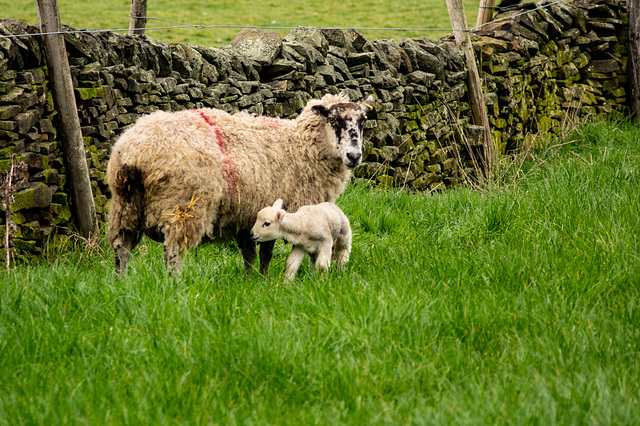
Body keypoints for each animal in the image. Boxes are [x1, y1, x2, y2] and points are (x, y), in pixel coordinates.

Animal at [107, 92, 372, 276]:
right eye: (334, 120)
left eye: (362, 121)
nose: (354, 156)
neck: (300, 145)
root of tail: (134, 150)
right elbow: (266, 253)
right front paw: (264, 279)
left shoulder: (246, 218)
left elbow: (251, 254)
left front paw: (250, 279)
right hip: (182, 207)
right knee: (172, 251)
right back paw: (176, 283)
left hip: (126, 204)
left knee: (122, 247)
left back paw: (121, 282)